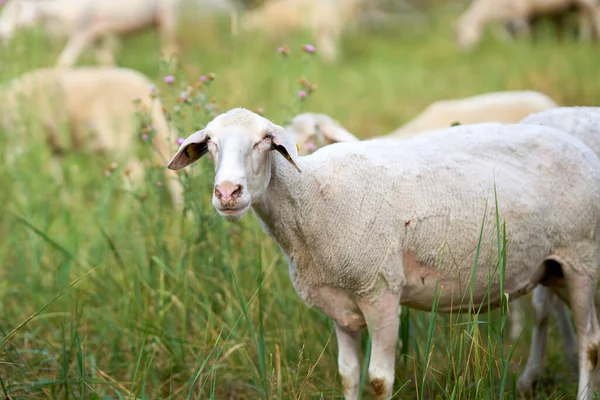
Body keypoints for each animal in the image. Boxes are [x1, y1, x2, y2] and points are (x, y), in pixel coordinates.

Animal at [2, 65, 183, 209]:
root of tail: (144, 89)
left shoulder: (25, 139)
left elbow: (17, 166)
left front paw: (24, 200)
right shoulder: (55, 146)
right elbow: (55, 174)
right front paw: (66, 204)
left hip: (117, 136)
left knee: (135, 172)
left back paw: (128, 209)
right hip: (156, 129)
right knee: (171, 168)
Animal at [166, 107, 600, 400]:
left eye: (264, 141)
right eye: (210, 144)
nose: (227, 193)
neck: (313, 197)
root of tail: (578, 147)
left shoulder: (381, 292)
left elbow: (378, 380)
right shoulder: (339, 302)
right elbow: (347, 374)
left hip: (581, 258)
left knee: (589, 343)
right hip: (551, 267)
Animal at [454, 0, 600, 50]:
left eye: (462, 33)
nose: (463, 50)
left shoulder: (522, 11)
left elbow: (524, 32)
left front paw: (524, 48)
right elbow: (501, 32)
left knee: (592, 16)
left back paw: (585, 42)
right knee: (585, 18)